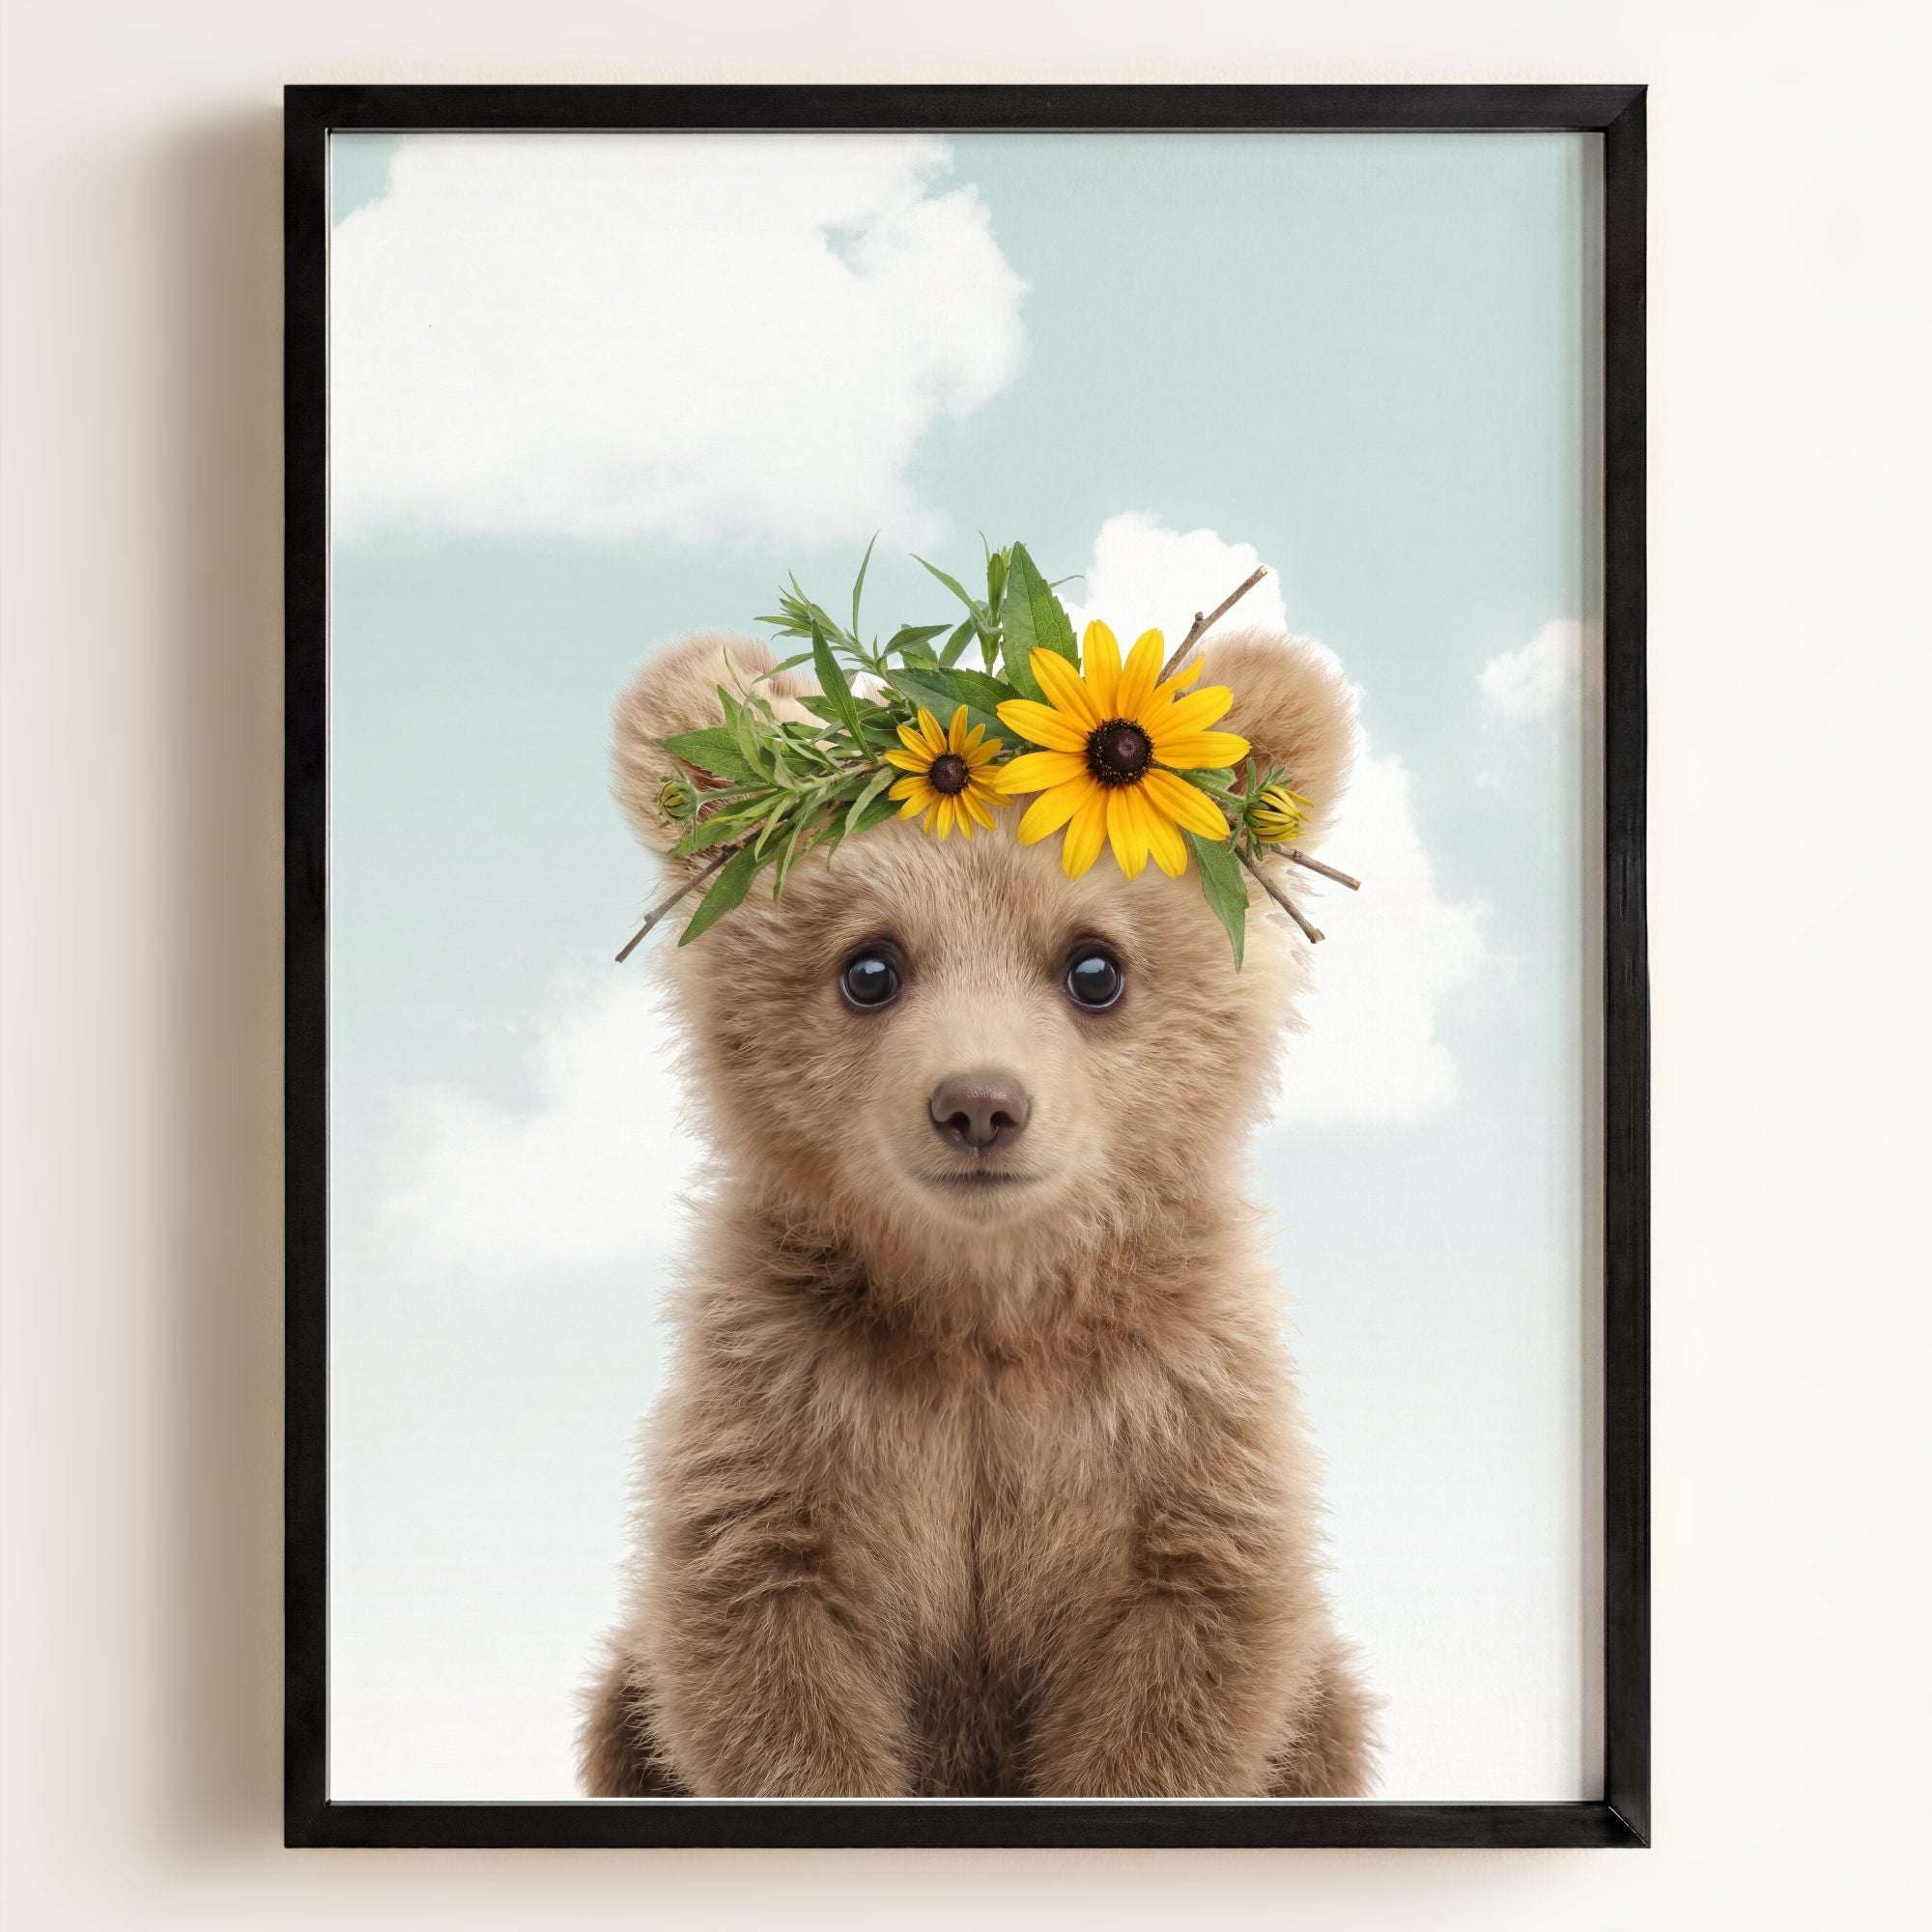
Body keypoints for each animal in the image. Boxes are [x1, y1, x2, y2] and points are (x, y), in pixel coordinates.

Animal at [579, 623, 1377, 1799]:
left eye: (1094, 966)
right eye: (869, 966)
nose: (979, 1104)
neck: (984, 1305)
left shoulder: (1175, 1420)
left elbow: (1185, 1664)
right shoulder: (786, 1411)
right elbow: (764, 1654)